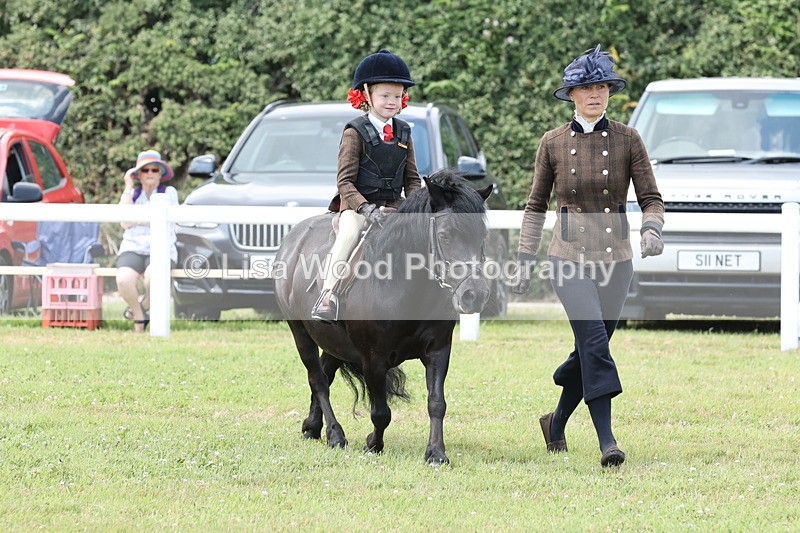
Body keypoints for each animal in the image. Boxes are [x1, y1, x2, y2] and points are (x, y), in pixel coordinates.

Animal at [274, 169, 492, 465]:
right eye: (445, 235)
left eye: (482, 236)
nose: (474, 295)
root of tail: (293, 239)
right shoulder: (373, 358)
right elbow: (380, 412)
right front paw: (372, 444)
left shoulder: (438, 351)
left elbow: (437, 403)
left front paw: (436, 453)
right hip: (300, 333)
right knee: (317, 380)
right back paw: (335, 434)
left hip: (334, 342)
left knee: (325, 374)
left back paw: (313, 427)